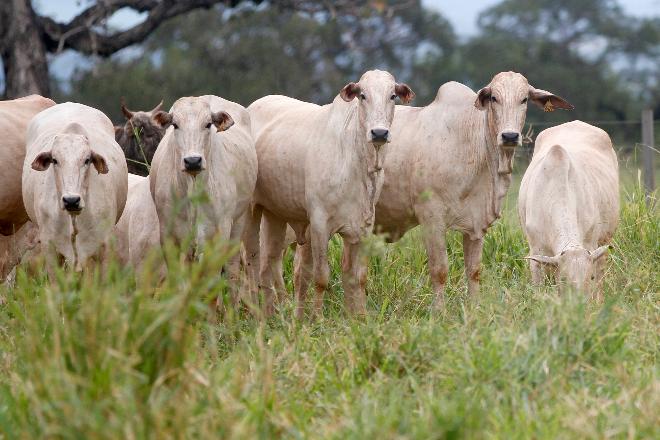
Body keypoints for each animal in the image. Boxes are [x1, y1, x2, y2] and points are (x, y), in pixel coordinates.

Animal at [245, 69, 416, 318]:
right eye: (362, 95)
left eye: (392, 96)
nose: (379, 133)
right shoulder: (319, 224)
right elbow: (321, 278)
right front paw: (317, 319)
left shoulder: (363, 226)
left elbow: (357, 277)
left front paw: (359, 318)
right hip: (251, 212)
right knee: (252, 263)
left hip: (275, 214)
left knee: (269, 264)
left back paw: (274, 315)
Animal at [372, 71, 572, 310]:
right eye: (494, 98)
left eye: (524, 99)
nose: (510, 136)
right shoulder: (431, 219)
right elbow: (439, 270)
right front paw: (439, 311)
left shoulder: (476, 224)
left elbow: (474, 271)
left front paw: (475, 307)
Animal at [520, 120, 620, 300]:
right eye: (564, 279)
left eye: (590, 277)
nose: (580, 302)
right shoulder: (536, 249)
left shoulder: (591, 243)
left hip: (604, 241)